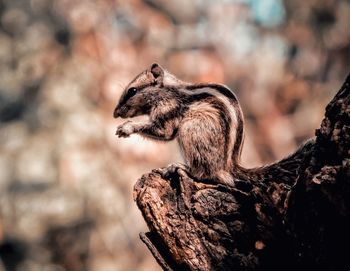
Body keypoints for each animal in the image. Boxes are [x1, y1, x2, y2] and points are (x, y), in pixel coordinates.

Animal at [114, 63, 314, 187]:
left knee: (206, 174)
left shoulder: (168, 110)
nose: (115, 113)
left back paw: (179, 167)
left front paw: (126, 127)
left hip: (191, 131)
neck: (167, 91)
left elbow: (164, 132)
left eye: (132, 91)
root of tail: (229, 167)